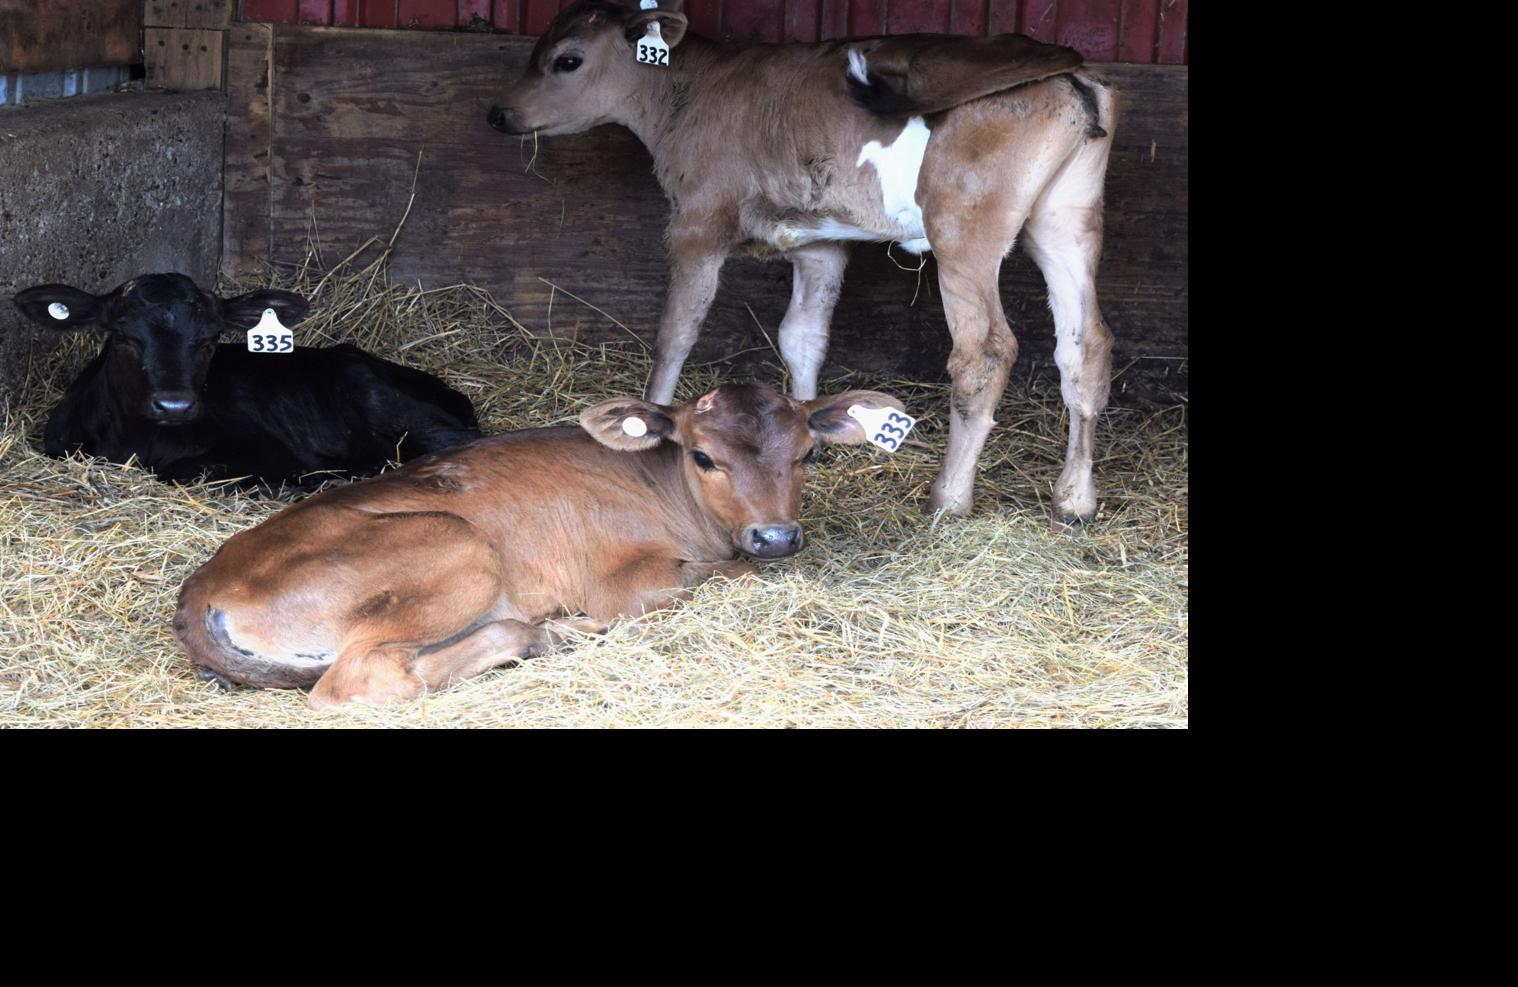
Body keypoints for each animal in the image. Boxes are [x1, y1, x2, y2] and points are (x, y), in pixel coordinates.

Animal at [11, 273, 481, 488]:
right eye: (124, 336)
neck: (134, 441)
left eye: (210, 338)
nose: (174, 405)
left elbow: (185, 470)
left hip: (382, 398)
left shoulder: (267, 448)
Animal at [173, 381, 903, 708]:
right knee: (362, 677)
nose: (776, 534)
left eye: (809, 454)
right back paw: (544, 635)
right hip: (454, 543)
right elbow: (730, 579)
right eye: (703, 456)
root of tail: (200, 587)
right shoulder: (624, 580)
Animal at [487, 0, 1118, 522]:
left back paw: (948, 499)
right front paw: (813, 429)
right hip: (1065, 219)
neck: (695, 90)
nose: (498, 114)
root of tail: (1065, 68)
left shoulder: (697, 223)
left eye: (567, 60)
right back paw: (1075, 499)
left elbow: (676, 332)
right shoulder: (819, 243)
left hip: (964, 226)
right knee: (1085, 344)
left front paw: (653, 419)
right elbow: (803, 336)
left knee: (984, 351)